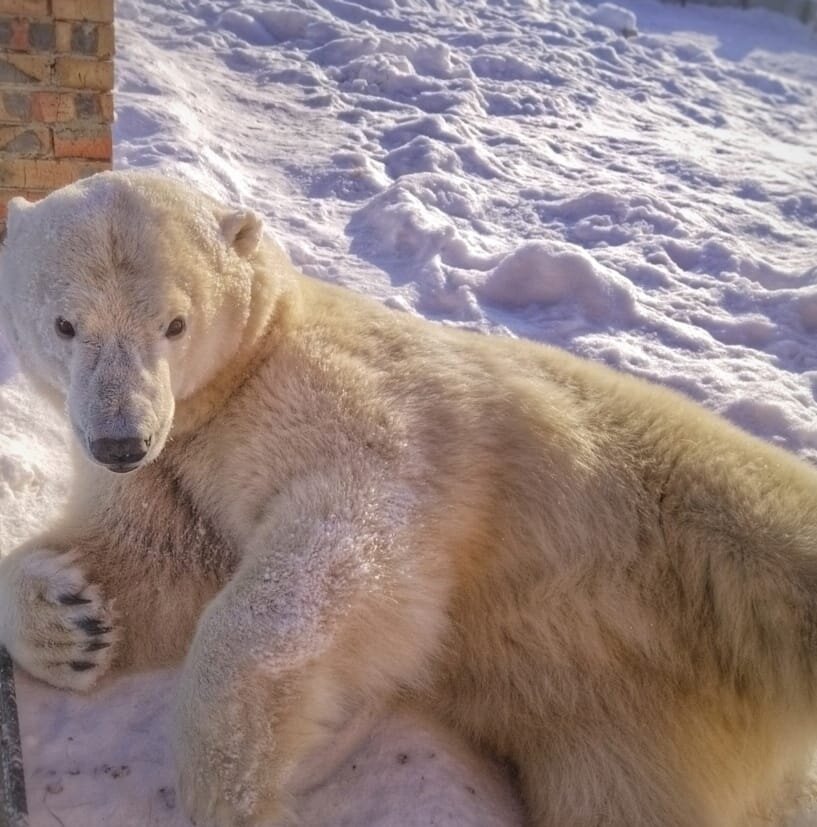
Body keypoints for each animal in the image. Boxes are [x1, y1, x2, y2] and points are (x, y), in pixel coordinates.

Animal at [1, 170, 816, 827]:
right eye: (66, 323)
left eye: (175, 322)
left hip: (690, 498)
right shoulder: (173, 468)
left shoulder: (344, 396)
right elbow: (157, 560)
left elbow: (347, 538)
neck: (241, 375)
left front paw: (232, 788)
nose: (120, 439)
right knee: (619, 796)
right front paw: (73, 621)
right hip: (614, 732)